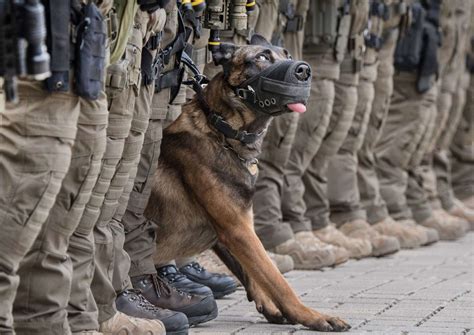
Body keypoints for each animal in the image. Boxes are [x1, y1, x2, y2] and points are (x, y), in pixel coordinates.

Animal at [146, 35, 350, 332]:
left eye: (287, 55)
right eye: (262, 57)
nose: (304, 70)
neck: (221, 131)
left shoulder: (234, 228)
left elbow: (252, 272)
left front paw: (271, 306)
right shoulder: (237, 228)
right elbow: (276, 277)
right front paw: (310, 315)